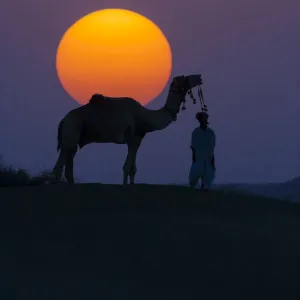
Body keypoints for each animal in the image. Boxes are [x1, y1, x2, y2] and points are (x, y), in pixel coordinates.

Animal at [52, 74, 204, 185]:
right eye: (186, 78)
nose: (199, 76)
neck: (145, 117)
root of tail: (63, 120)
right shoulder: (133, 138)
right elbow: (127, 167)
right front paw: (125, 186)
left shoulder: (137, 139)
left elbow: (133, 169)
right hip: (71, 129)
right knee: (60, 166)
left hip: (72, 137)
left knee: (68, 163)